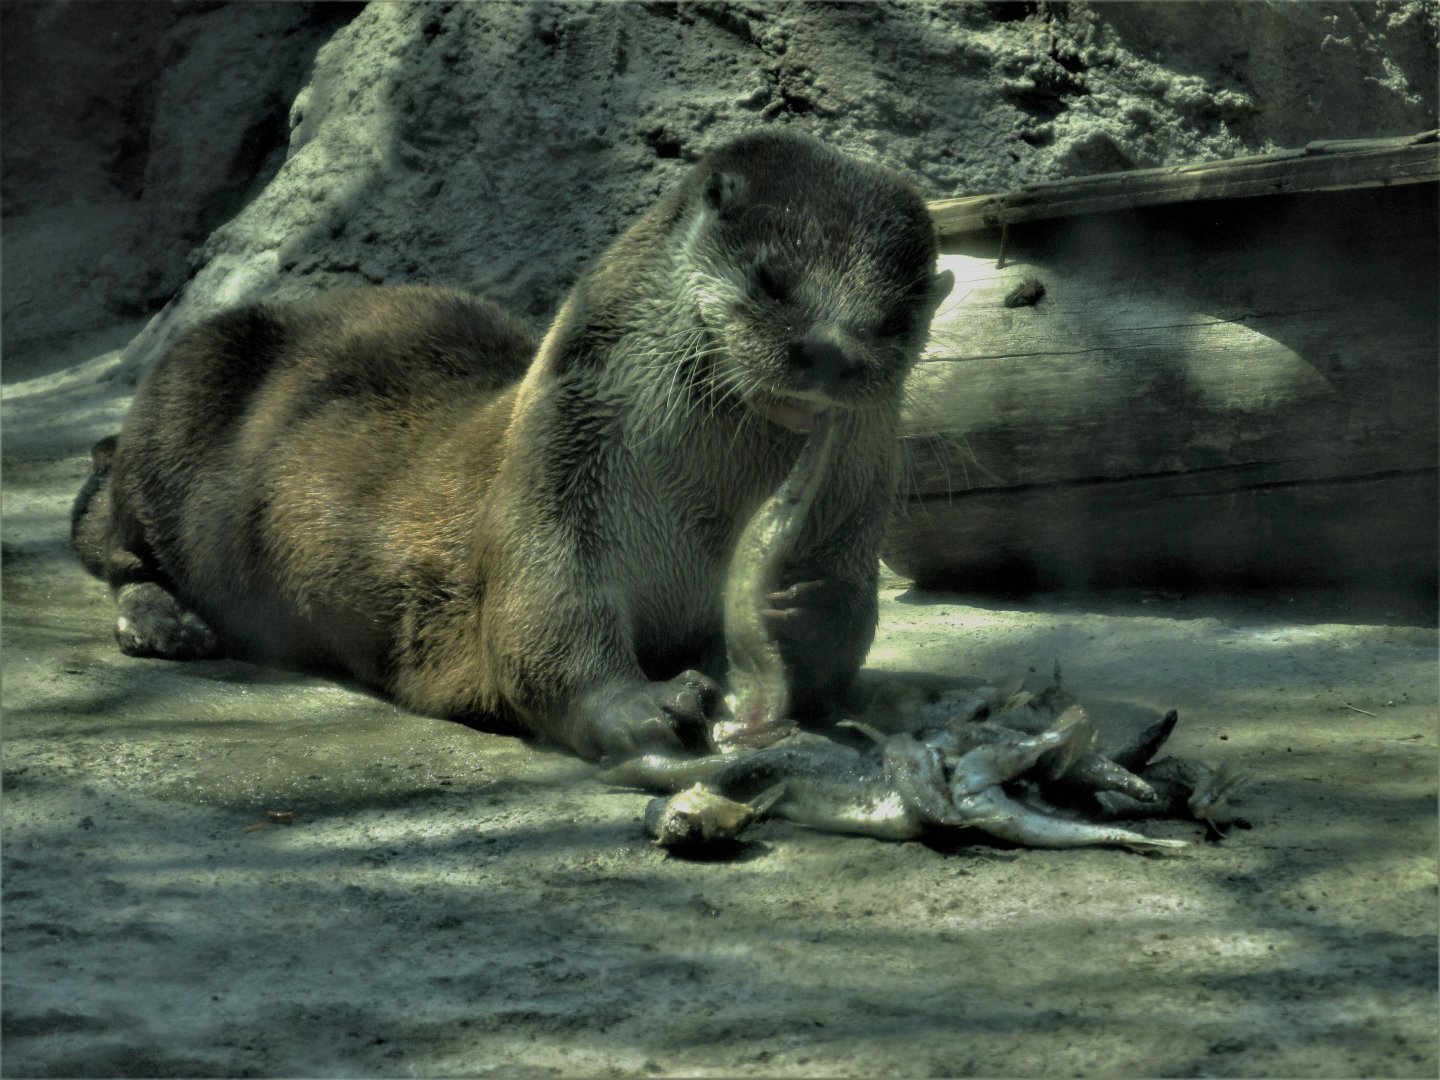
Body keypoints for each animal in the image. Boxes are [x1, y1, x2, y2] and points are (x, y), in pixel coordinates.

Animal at [72, 130, 953, 762]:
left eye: (898, 319)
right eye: (772, 281)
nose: (832, 352)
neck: (701, 521)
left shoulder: (850, 519)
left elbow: (836, 640)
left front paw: (805, 611)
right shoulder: (561, 473)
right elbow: (544, 614)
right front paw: (642, 703)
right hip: (186, 388)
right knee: (116, 545)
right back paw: (164, 620)